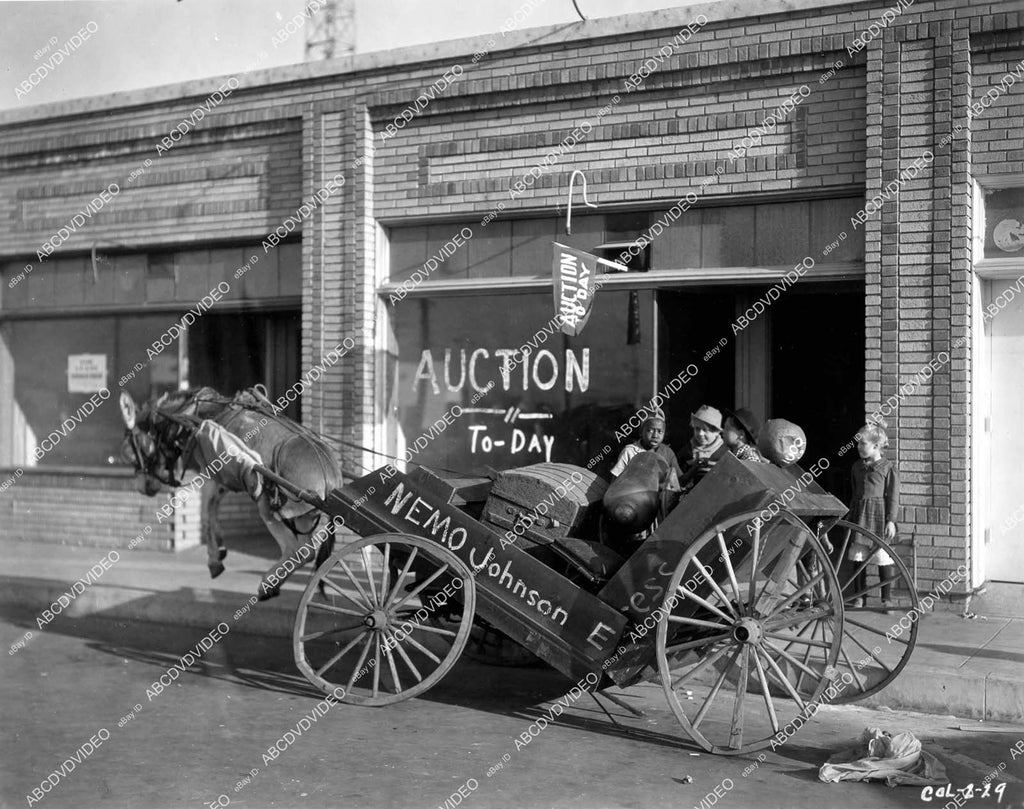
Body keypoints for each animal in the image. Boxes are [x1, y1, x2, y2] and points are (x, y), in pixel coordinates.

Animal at [118, 387, 344, 602]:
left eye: (130, 450)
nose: (143, 486)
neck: (195, 414)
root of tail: (331, 475)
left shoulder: (211, 475)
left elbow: (207, 513)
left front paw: (214, 559)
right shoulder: (226, 478)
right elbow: (213, 508)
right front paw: (219, 548)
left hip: (270, 505)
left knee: (297, 550)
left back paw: (267, 585)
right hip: (304, 515)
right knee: (307, 551)